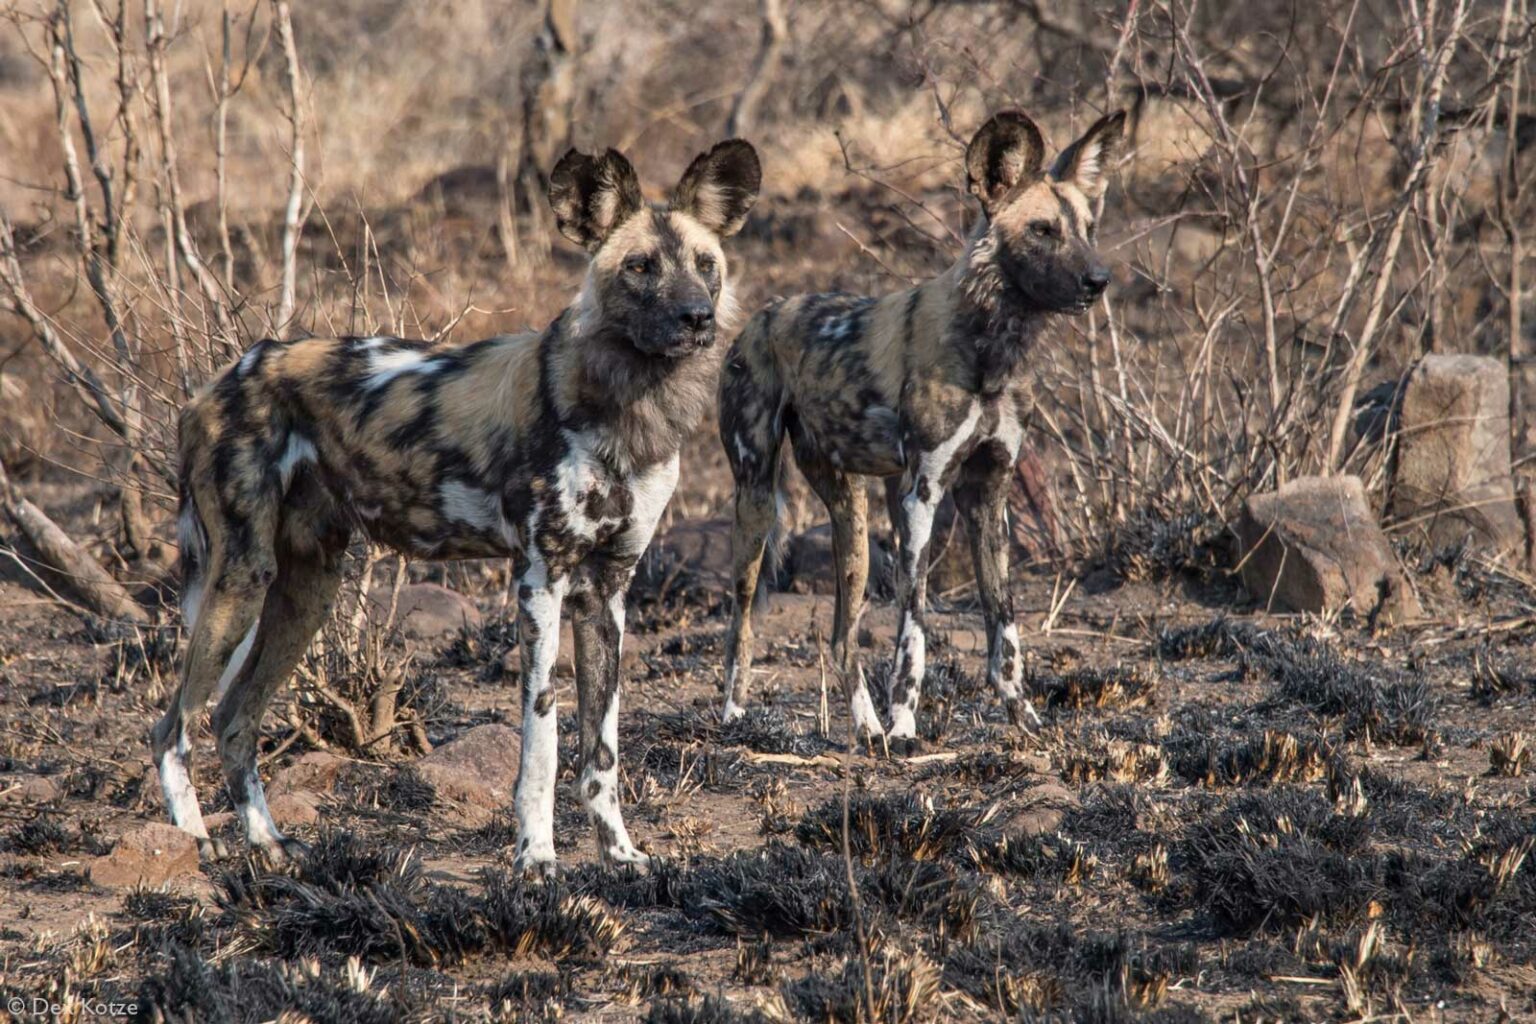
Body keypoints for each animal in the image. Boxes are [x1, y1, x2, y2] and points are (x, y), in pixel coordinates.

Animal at [149, 138, 761, 872]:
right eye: (641, 267)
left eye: (706, 266)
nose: (697, 317)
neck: (629, 404)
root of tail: (220, 379)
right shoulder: (540, 581)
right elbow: (542, 739)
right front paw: (536, 859)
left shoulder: (607, 592)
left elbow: (603, 750)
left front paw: (619, 853)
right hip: (241, 580)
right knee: (173, 727)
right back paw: (193, 846)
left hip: (307, 590)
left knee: (232, 717)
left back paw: (268, 844)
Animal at [712, 110, 1124, 752]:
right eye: (1042, 230)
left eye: (1087, 228)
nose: (1097, 279)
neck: (992, 351)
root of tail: (760, 315)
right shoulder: (920, 496)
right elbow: (915, 628)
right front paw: (906, 724)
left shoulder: (989, 495)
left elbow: (1004, 628)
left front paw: (1024, 719)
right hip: (755, 505)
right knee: (742, 624)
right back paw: (739, 717)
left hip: (852, 525)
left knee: (841, 638)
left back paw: (865, 728)